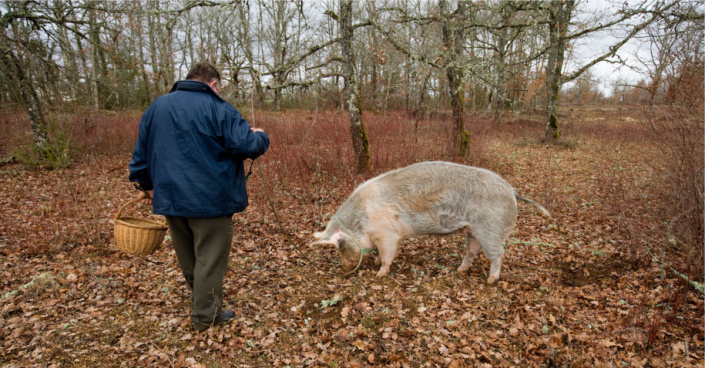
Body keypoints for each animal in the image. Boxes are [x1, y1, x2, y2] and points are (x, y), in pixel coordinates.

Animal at [312, 161, 552, 284]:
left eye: (340, 246)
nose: (343, 270)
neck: (361, 221)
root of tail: (512, 191)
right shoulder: (392, 236)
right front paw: (376, 262)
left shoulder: (386, 234)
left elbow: (387, 255)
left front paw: (379, 274)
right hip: (472, 230)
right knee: (473, 251)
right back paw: (459, 271)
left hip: (490, 229)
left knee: (498, 253)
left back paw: (491, 280)